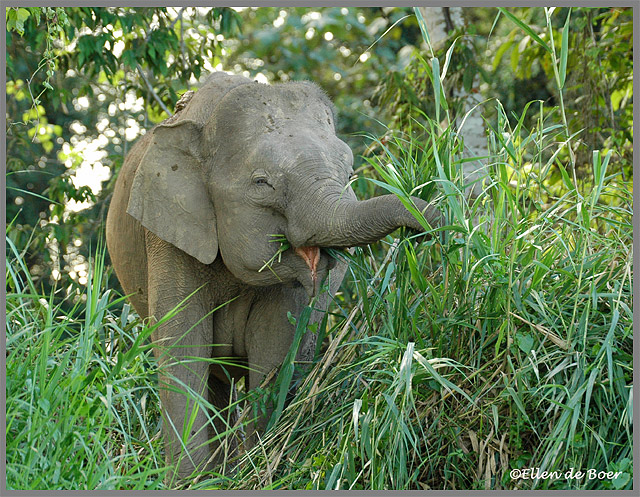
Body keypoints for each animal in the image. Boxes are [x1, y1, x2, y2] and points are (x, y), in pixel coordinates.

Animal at [105, 72, 442, 482]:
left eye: (349, 174)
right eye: (262, 183)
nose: (430, 226)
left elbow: (274, 349)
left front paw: (254, 472)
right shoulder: (166, 237)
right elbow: (182, 347)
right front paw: (193, 483)